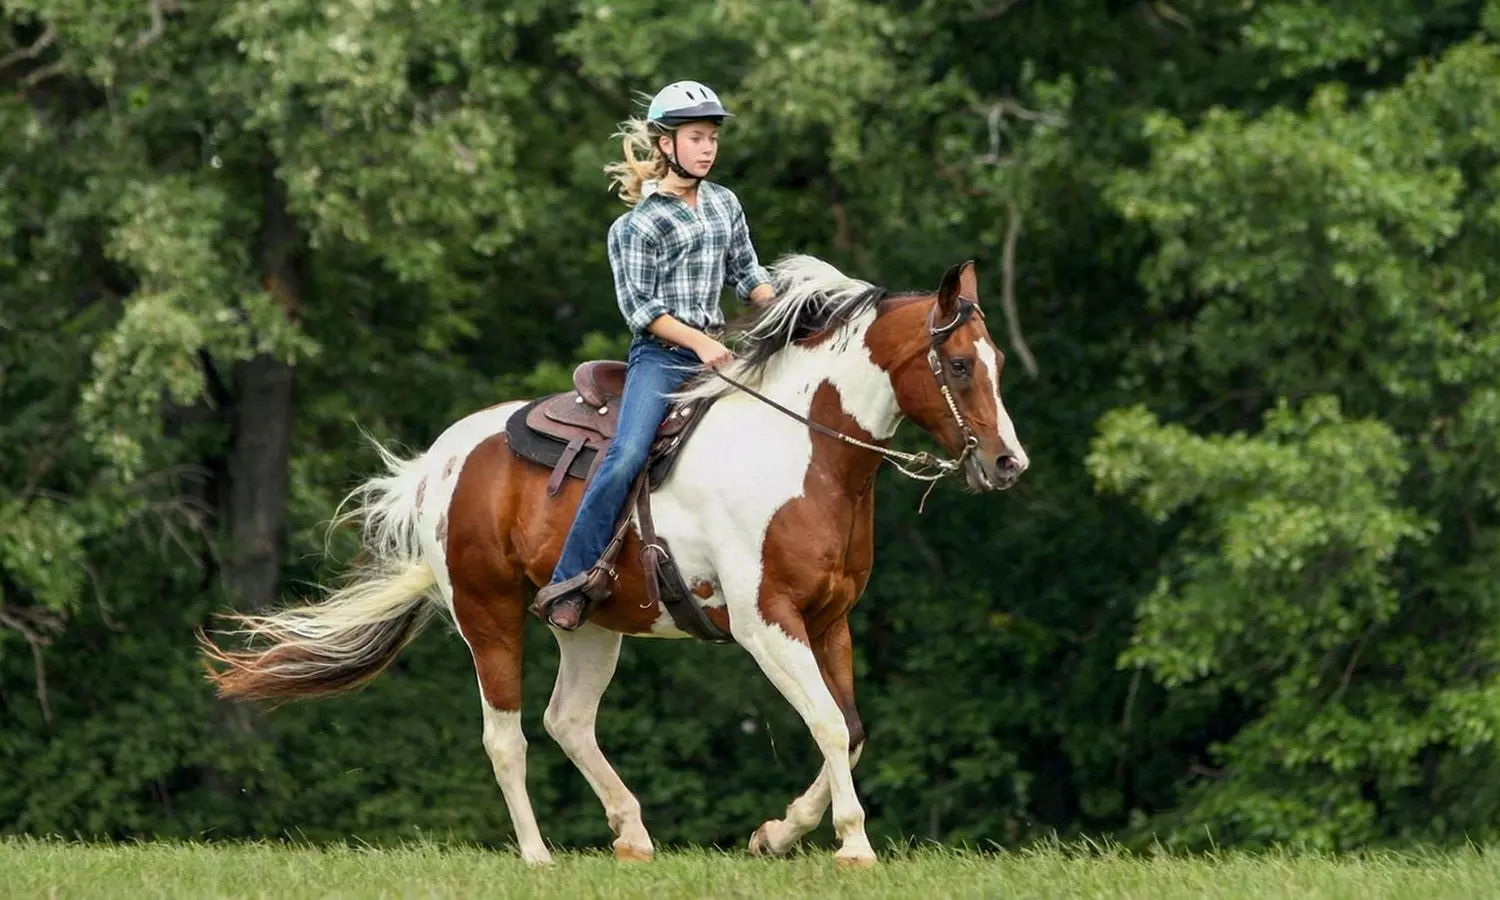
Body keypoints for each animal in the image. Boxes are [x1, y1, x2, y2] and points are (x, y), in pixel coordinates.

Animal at [199, 253, 1030, 868]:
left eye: (994, 359)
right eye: (959, 364)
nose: (1008, 463)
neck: (803, 453)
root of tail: (439, 463)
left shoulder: (830, 618)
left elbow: (849, 727)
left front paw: (779, 833)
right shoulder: (767, 622)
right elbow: (826, 721)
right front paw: (852, 846)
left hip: (590, 624)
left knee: (568, 719)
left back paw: (631, 833)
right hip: (487, 613)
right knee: (507, 736)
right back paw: (538, 856)